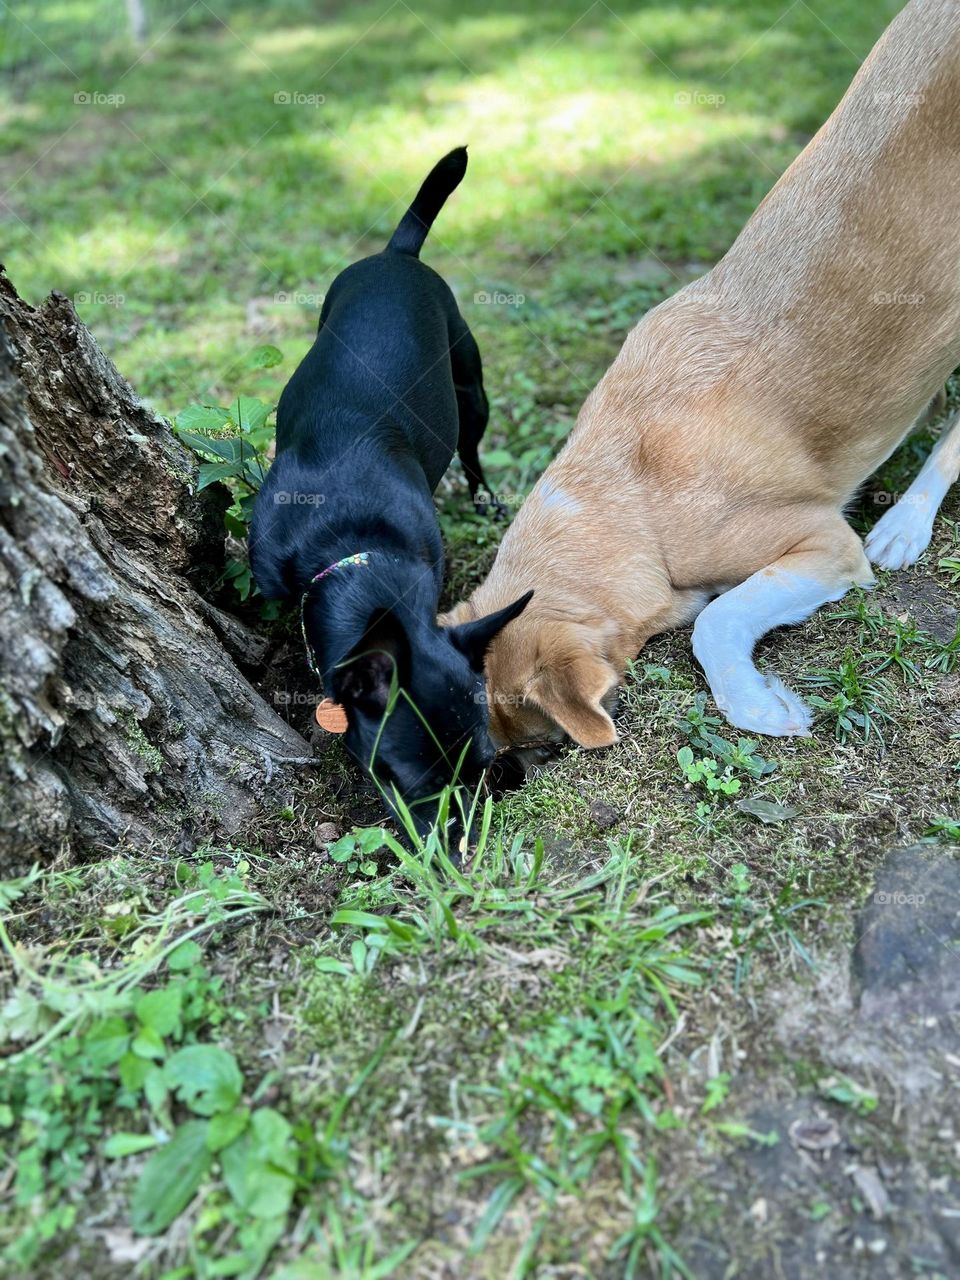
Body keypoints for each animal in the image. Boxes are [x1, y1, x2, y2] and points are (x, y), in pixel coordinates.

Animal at [248, 147, 535, 839]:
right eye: (412, 786)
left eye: (482, 765)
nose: (459, 845)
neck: (354, 543)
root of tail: (396, 254)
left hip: (470, 392)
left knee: (473, 453)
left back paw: (486, 499)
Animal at [448, 0, 960, 747]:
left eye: (544, 744)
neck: (629, 495)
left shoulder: (824, 542)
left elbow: (716, 621)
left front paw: (759, 705)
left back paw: (907, 520)